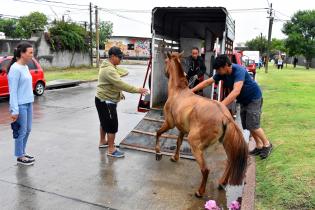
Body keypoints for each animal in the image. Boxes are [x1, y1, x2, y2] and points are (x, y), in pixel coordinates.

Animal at [156, 51, 249, 198]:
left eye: (165, 61)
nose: (165, 73)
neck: (178, 91)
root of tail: (225, 116)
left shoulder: (169, 123)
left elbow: (158, 133)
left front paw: (158, 152)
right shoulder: (182, 129)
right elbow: (178, 142)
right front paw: (175, 157)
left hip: (195, 144)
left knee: (205, 170)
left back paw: (200, 192)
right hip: (225, 143)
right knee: (230, 161)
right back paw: (222, 182)